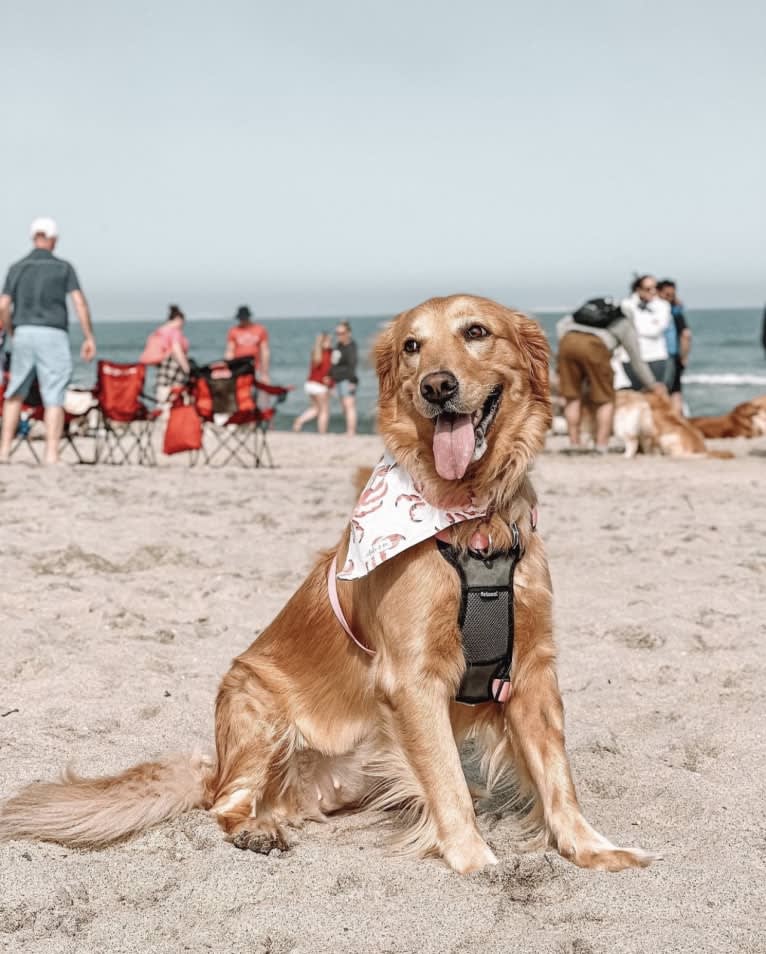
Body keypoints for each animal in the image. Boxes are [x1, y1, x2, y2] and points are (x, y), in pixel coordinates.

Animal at [0, 294, 656, 872]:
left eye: (475, 332)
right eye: (413, 345)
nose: (437, 386)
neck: (470, 519)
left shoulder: (532, 666)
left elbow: (556, 774)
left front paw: (591, 849)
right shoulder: (412, 677)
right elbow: (448, 781)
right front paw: (474, 861)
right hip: (254, 702)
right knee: (226, 804)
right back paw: (257, 830)